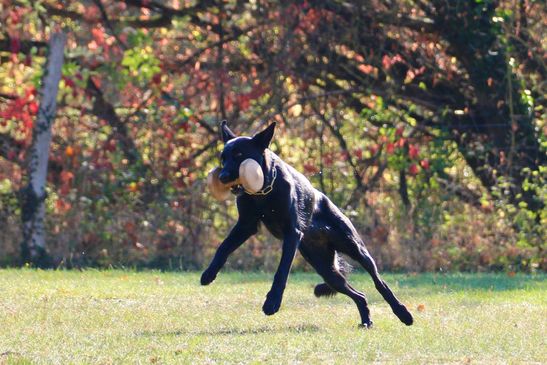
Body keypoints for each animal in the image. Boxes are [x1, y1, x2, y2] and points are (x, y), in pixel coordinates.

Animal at [202, 120, 416, 328]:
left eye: (239, 155)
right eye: (223, 158)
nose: (222, 177)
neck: (264, 191)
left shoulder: (292, 234)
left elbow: (282, 271)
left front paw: (272, 302)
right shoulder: (245, 226)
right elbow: (223, 247)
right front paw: (209, 273)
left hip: (355, 249)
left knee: (379, 282)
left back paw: (403, 313)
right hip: (326, 270)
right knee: (360, 295)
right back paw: (366, 321)